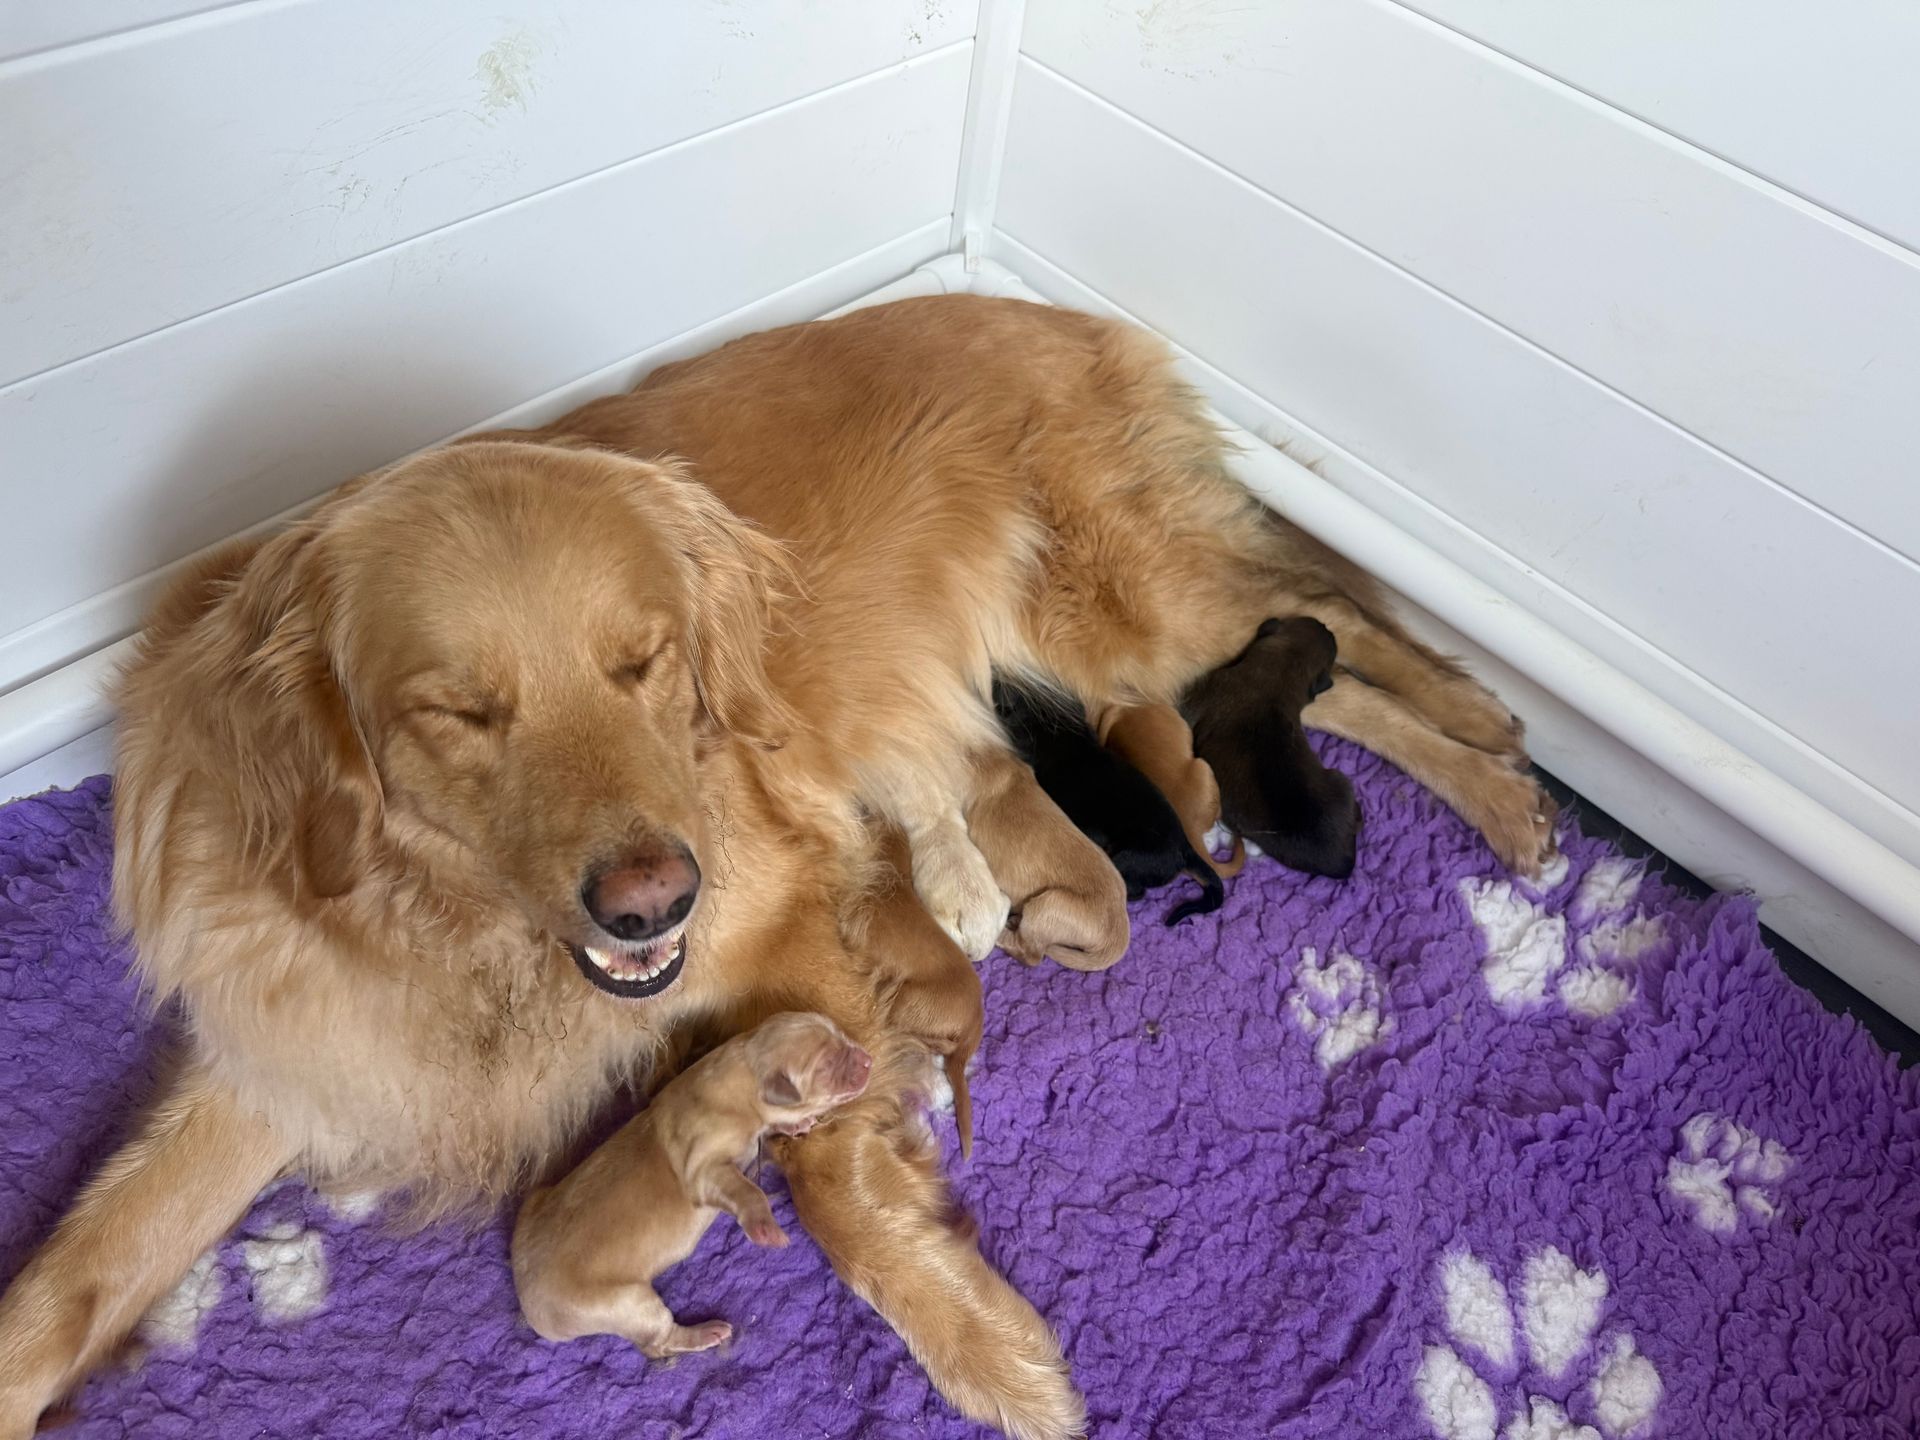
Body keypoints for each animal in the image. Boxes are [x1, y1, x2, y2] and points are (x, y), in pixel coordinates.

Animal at [512, 1012, 870, 1357]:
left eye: (840, 1035)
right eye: (826, 1064)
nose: (867, 1059)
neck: (743, 1070)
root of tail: (526, 1298)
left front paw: (796, 1123)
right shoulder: (702, 1168)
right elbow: (747, 1190)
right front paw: (765, 1227)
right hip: (624, 1303)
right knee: (656, 1343)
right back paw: (705, 1333)